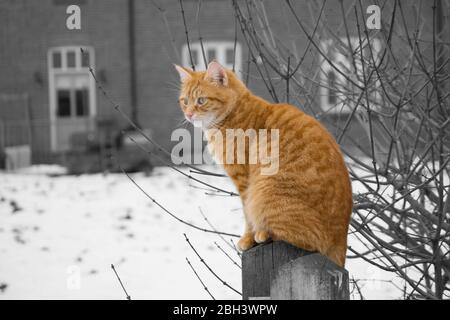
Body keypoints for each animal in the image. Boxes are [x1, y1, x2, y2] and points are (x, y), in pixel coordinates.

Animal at [174, 61, 354, 266]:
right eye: (185, 101)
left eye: (201, 100)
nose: (188, 114)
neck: (233, 114)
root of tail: (340, 240)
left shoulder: (244, 180)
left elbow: (247, 215)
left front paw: (247, 239)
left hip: (266, 189)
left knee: (307, 241)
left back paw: (264, 234)